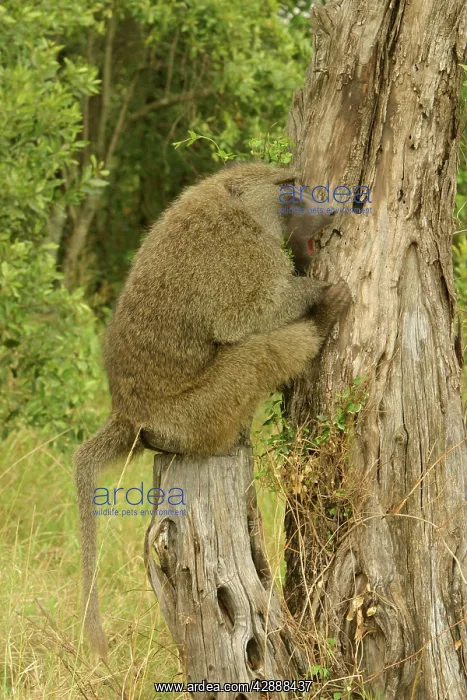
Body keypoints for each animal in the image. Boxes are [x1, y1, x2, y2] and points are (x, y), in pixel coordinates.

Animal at [74, 161, 350, 658]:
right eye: (288, 189)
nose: (330, 208)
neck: (238, 203)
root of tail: (129, 413)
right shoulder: (245, 254)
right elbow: (244, 319)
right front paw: (316, 291)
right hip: (193, 413)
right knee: (257, 352)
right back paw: (320, 322)